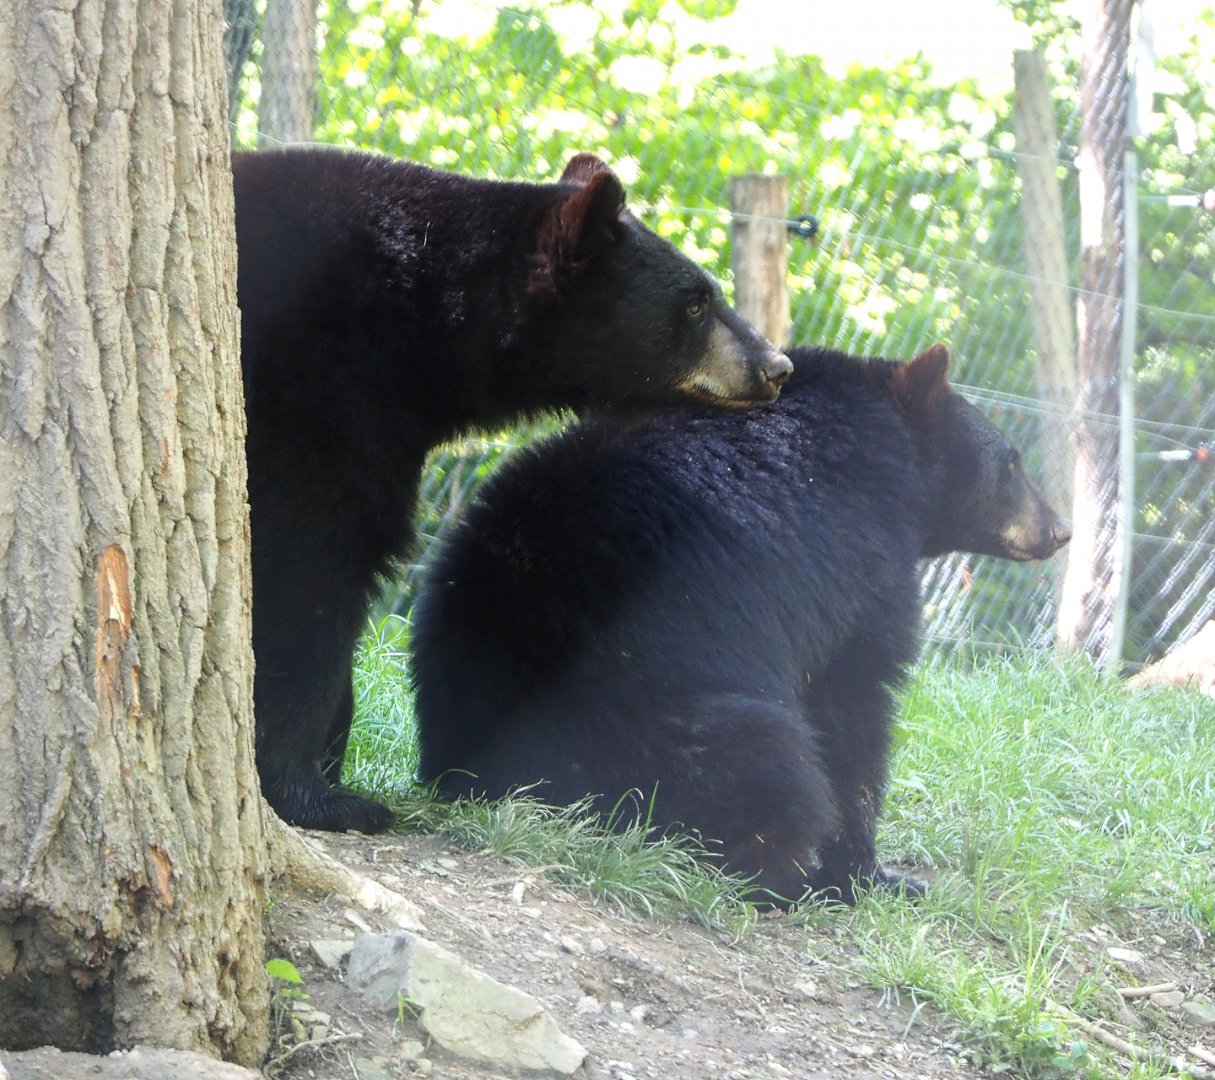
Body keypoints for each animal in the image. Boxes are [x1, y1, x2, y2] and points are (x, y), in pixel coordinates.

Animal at [233, 146, 792, 834]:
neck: (427, 311)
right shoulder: (325, 392)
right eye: (695, 303)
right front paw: (318, 791)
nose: (775, 367)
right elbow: (308, 564)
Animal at [409, 344, 1071, 903]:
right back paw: (788, 876)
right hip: (662, 723)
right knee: (773, 770)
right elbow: (852, 702)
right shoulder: (859, 556)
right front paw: (870, 873)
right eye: (1013, 463)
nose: (1060, 530)